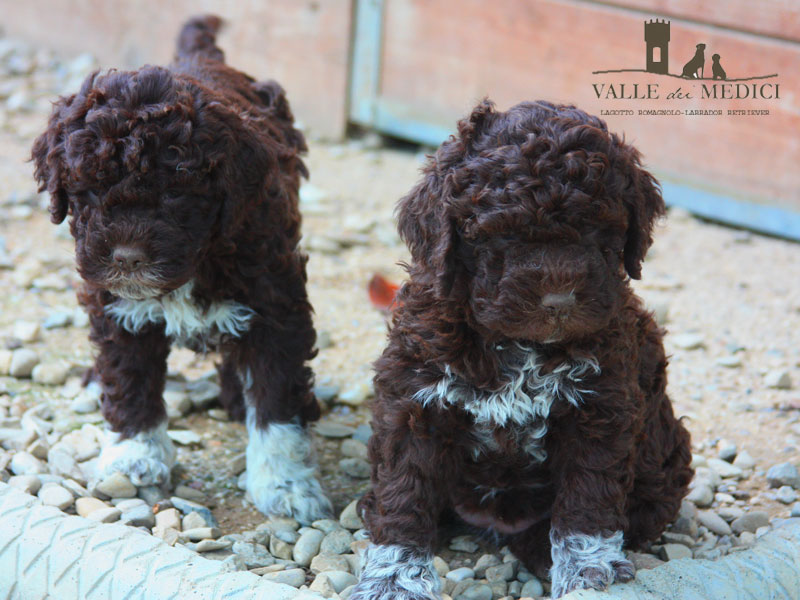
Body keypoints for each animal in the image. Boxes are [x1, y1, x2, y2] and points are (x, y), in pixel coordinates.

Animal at [31, 15, 332, 524]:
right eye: (87, 189)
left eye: (175, 193)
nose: (127, 257)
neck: (199, 259)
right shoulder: (116, 307)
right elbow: (129, 378)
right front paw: (135, 454)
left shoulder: (275, 301)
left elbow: (277, 397)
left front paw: (287, 485)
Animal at [354, 101, 692, 596]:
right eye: (503, 235)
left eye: (599, 232)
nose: (560, 301)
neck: (519, 345)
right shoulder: (415, 400)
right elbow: (404, 490)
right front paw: (395, 576)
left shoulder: (603, 407)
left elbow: (589, 495)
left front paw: (586, 569)